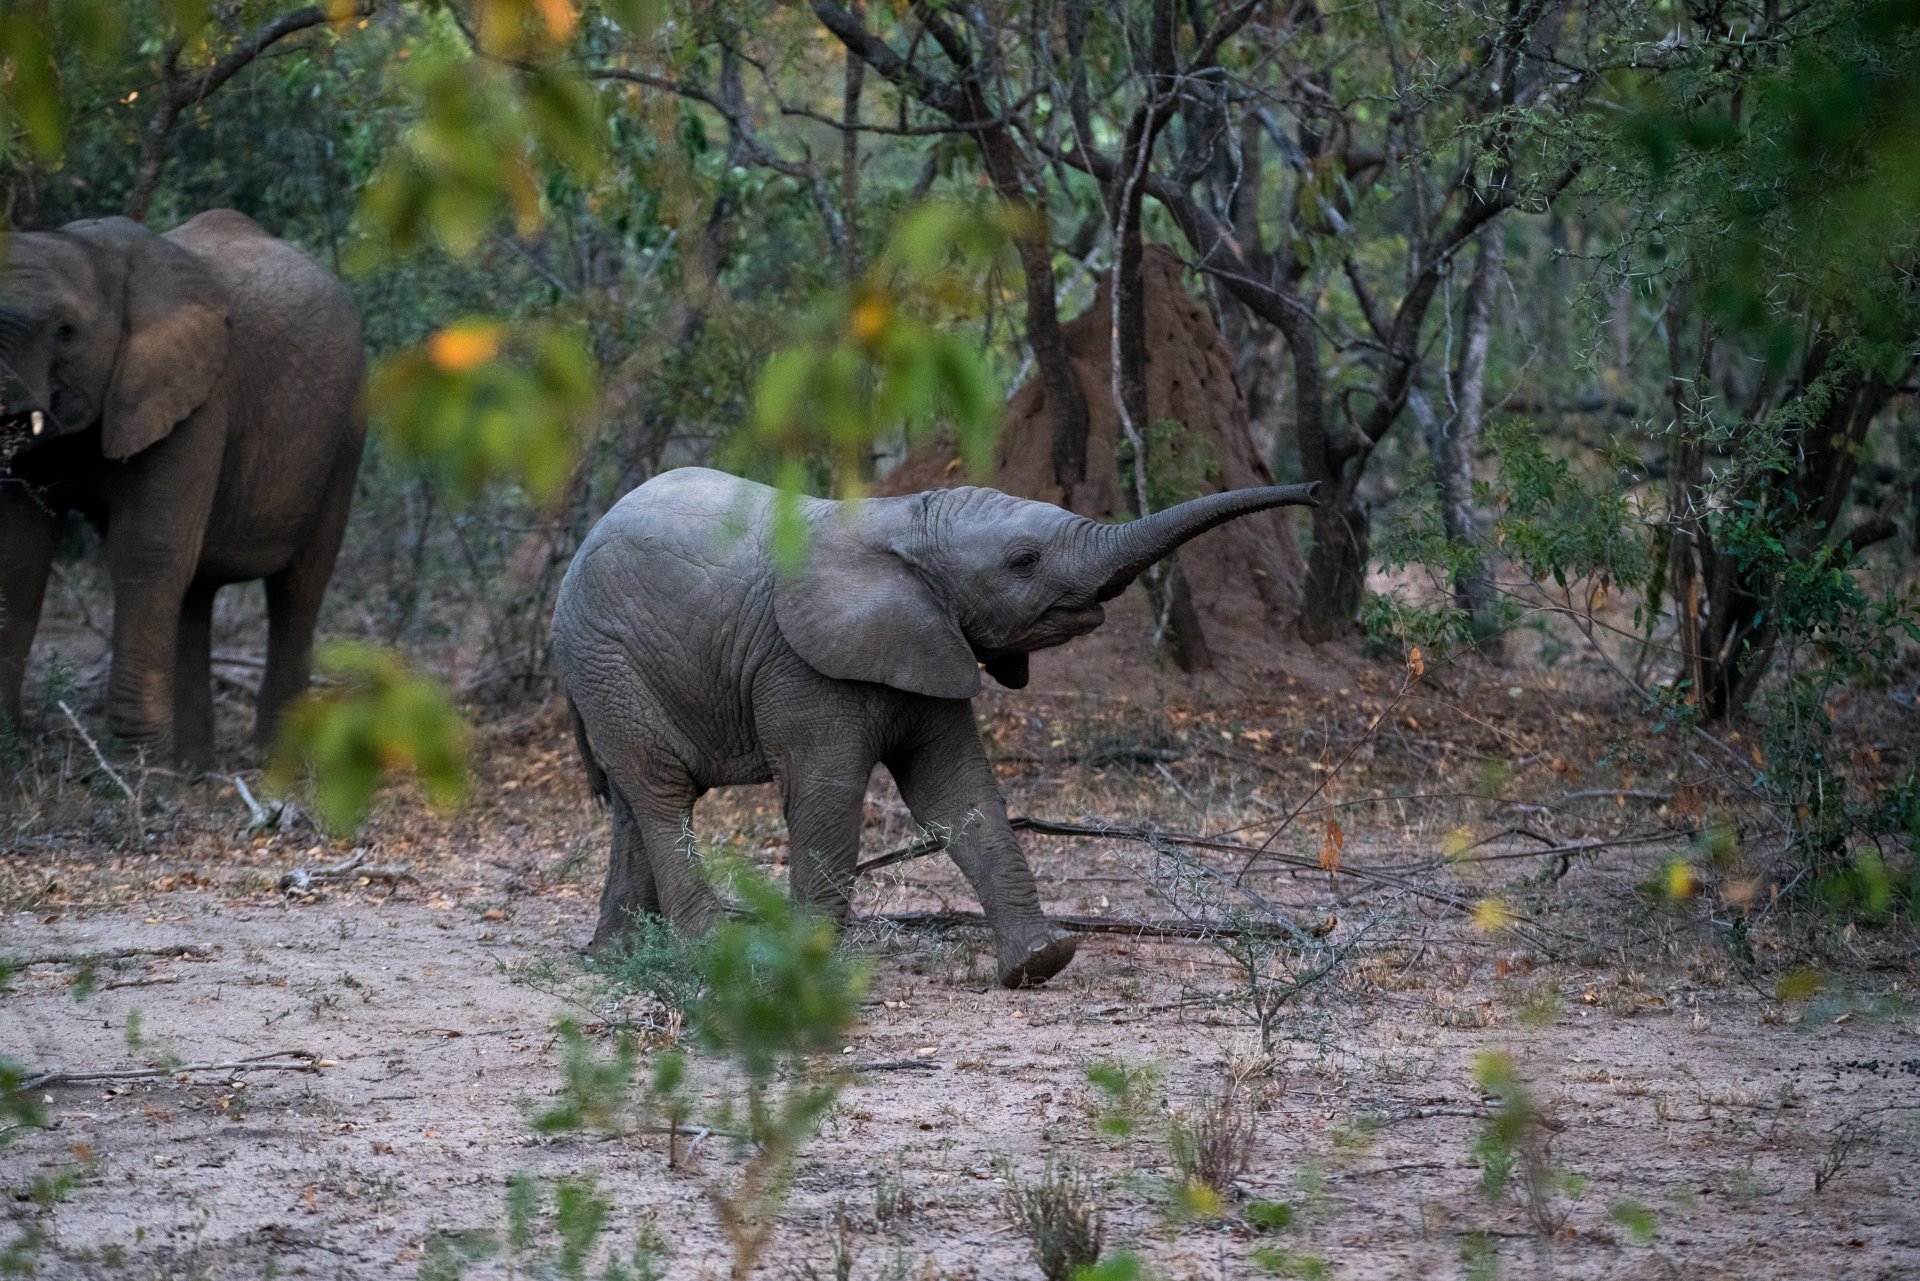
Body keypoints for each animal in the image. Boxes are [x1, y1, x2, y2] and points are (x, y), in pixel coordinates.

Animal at [0, 211, 365, 769]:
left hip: (346, 431)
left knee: (297, 588)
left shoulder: (197, 401)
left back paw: (271, 762)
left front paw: (136, 770)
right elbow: (22, 552)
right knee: (195, 590)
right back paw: (195, 767)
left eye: (65, 332)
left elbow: (145, 550)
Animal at [551, 466, 1318, 988]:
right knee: (662, 791)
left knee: (633, 801)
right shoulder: (800, 664)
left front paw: (1040, 963)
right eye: (1024, 560)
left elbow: (957, 792)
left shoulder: (931, 641)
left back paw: (617, 957)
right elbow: (828, 796)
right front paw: (807, 975)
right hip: (607, 658)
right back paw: (714, 955)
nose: (1315, 491)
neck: (906, 524)